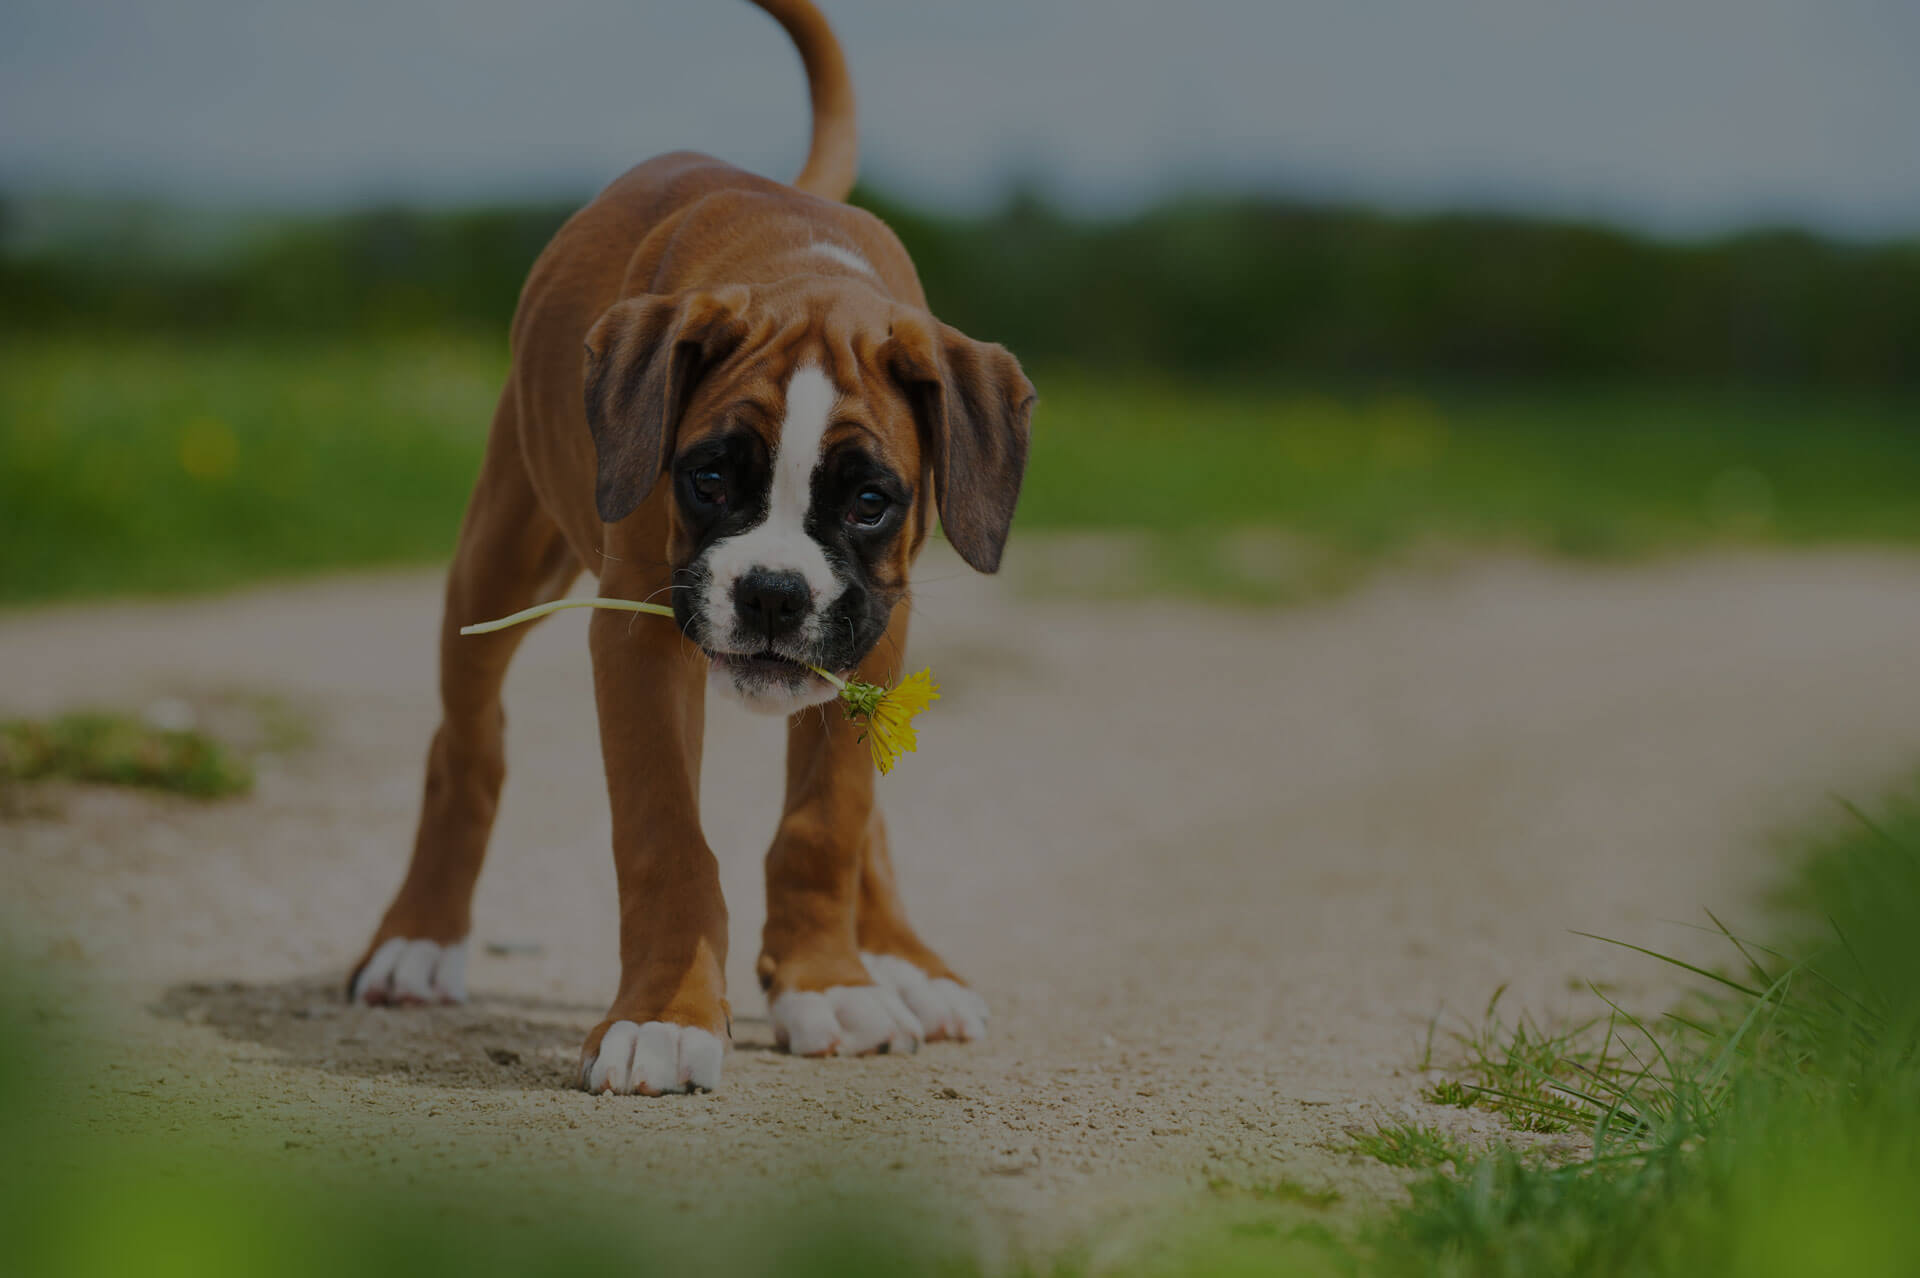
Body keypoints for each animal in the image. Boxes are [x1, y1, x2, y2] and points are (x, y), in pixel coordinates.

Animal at [345, 0, 1036, 1097]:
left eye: (870, 501)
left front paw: (830, 983)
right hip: (502, 554)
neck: (799, 269)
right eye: (709, 477)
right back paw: (417, 940)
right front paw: (666, 1016)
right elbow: (665, 836)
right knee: (467, 746)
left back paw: (904, 963)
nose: (773, 595)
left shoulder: (877, 631)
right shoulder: (637, 644)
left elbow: (830, 819)